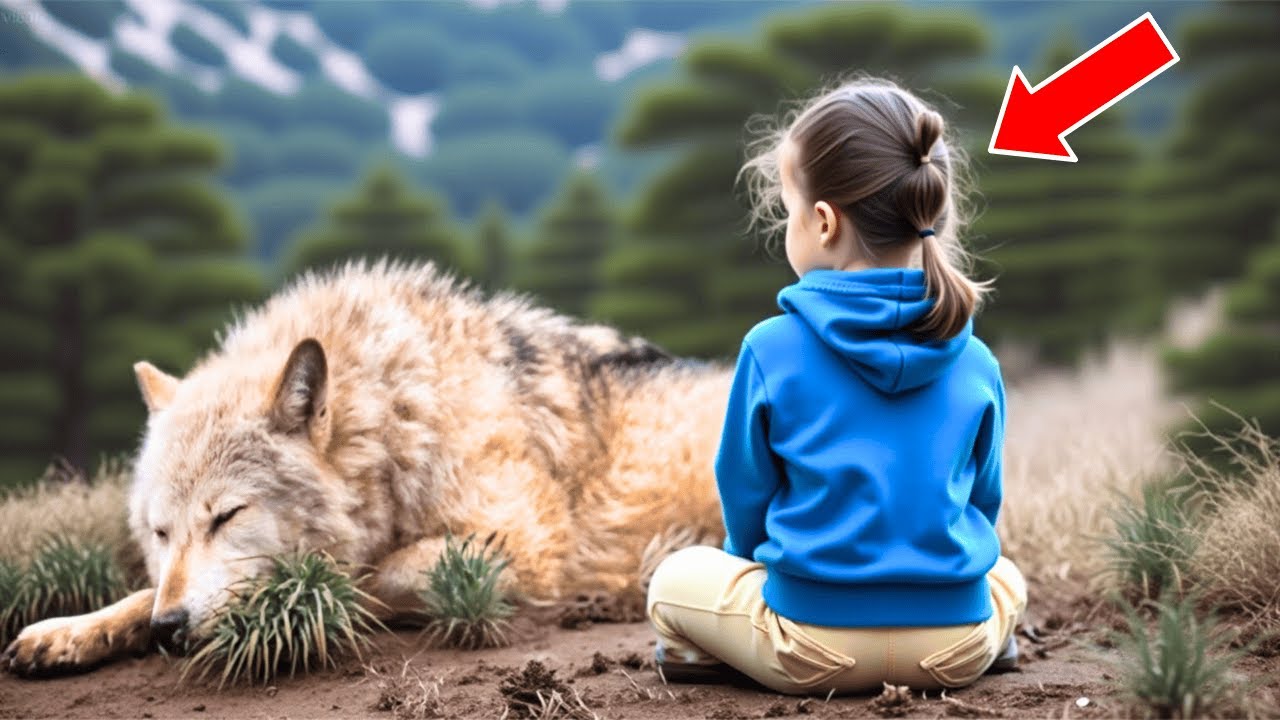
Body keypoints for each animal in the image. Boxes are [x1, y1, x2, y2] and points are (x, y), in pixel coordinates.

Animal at [2, 260, 730, 675]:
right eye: (160, 533)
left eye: (227, 516)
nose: (169, 632)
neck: (399, 414)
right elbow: (140, 593)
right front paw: (70, 632)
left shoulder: (520, 548)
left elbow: (361, 576)